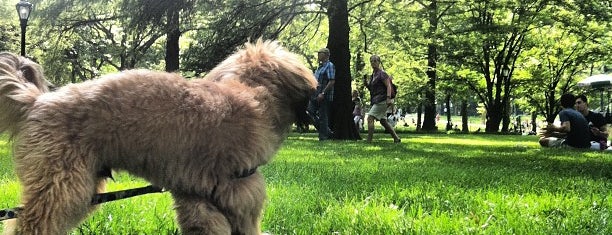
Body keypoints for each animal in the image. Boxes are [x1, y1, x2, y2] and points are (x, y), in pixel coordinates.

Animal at [0, 40, 316, 235]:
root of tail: (39, 100)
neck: (252, 92)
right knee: (30, 224)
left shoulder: (195, 195)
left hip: (79, 188)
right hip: (61, 186)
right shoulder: (241, 190)